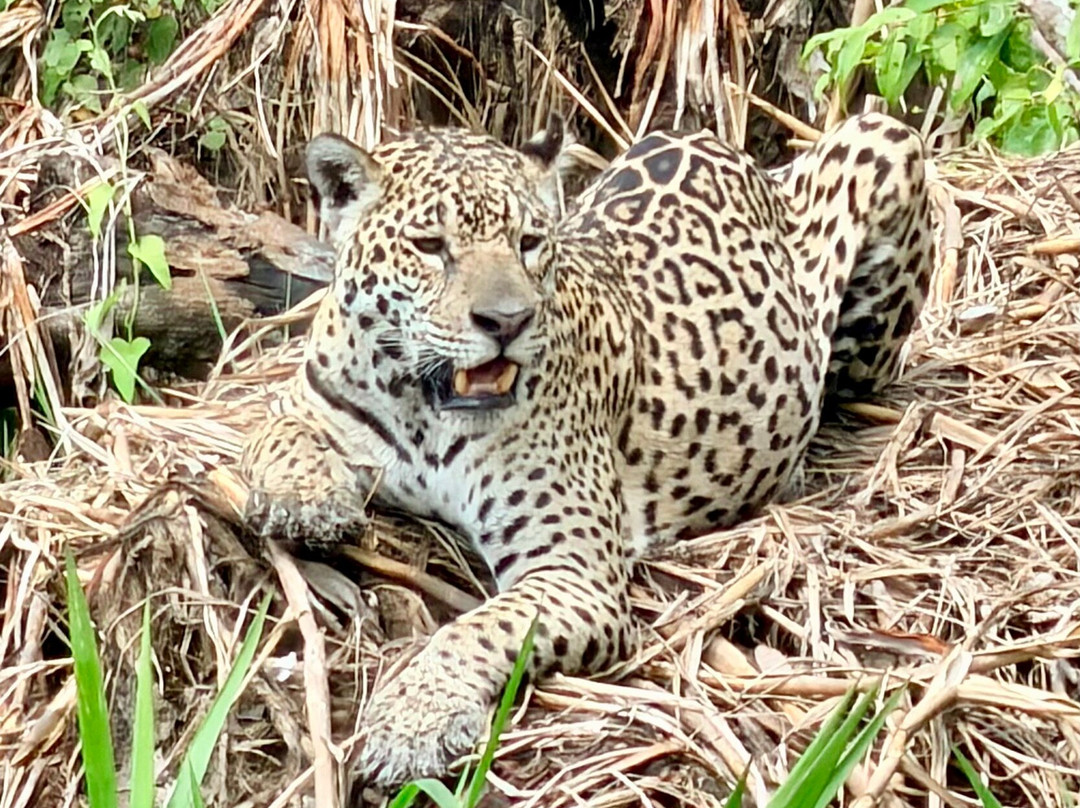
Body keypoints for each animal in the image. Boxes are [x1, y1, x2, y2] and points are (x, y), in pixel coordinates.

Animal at [240, 111, 932, 789]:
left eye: (528, 243)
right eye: (430, 246)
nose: (507, 321)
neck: (422, 407)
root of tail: (738, 154)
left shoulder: (574, 570)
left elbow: (478, 629)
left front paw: (413, 719)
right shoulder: (301, 400)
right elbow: (268, 437)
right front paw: (306, 500)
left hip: (884, 143)